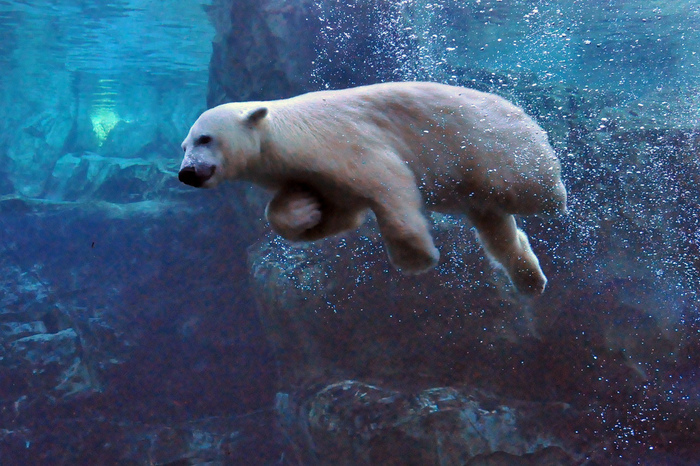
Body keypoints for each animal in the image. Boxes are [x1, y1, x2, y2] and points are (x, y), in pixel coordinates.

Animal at [178, 83, 568, 294]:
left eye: (205, 138)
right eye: (183, 146)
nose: (187, 173)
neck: (289, 136)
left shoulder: (345, 144)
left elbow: (390, 183)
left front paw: (416, 258)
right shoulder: (314, 173)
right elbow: (335, 210)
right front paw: (305, 210)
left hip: (490, 146)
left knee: (527, 187)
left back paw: (559, 197)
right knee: (495, 227)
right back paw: (531, 279)